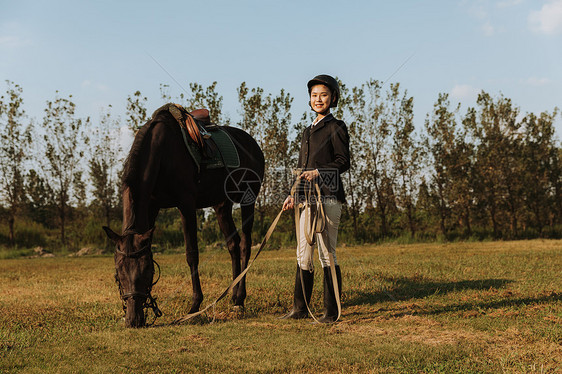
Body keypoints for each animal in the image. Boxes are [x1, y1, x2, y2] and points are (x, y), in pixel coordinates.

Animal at [103, 108, 264, 328]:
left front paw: (195, 306)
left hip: (249, 198)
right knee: (233, 244)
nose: (133, 320)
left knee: (245, 244)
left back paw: (240, 299)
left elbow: (191, 254)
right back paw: (232, 296)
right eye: (118, 272)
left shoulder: (186, 204)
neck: (162, 152)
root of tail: (253, 144)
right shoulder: (152, 206)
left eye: (146, 270)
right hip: (222, 205)